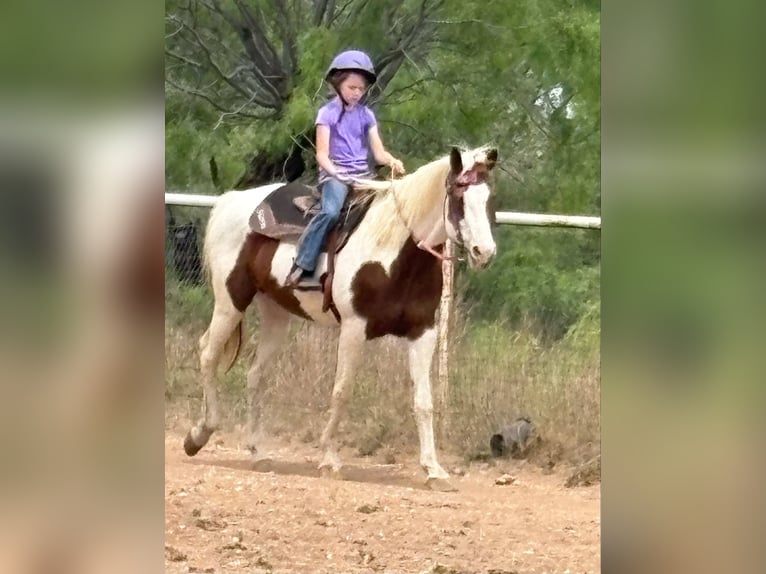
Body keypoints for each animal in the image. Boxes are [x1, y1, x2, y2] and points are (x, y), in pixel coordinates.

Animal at [184, 145, 499, 490]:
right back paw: (199, 435)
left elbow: (423, 401)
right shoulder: (354, 327)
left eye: (489, 198)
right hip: (231, 301)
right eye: (459, 196)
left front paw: (434, 469)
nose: (485, 252)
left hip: (275, 313)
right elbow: (342, 391)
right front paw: (330, 459)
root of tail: (231, 201)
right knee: (208, 354)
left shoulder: (423, 331)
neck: (393, 252)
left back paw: (259, 453)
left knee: (256, 374)